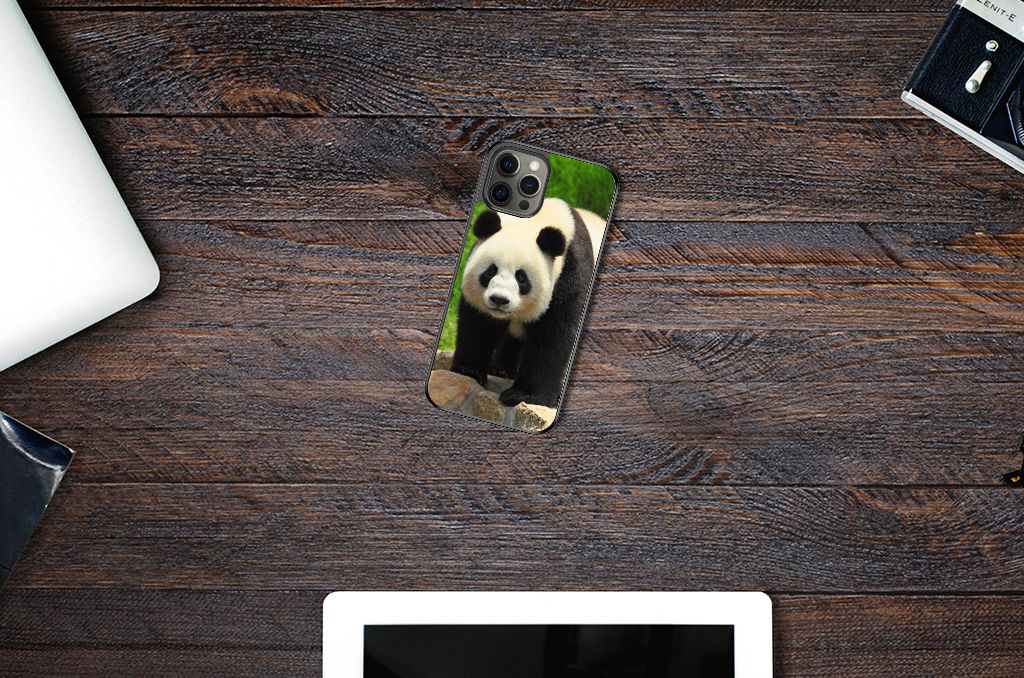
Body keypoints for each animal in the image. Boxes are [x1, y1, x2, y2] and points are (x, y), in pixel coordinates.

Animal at [449, 198, 605, 408]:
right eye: (491, 271)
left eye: (521, 277)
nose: (499, 300)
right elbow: (478, 324)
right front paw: (468, 370)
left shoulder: (571, 274)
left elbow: (553, 336)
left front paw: (524, 395)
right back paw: (502, 368)